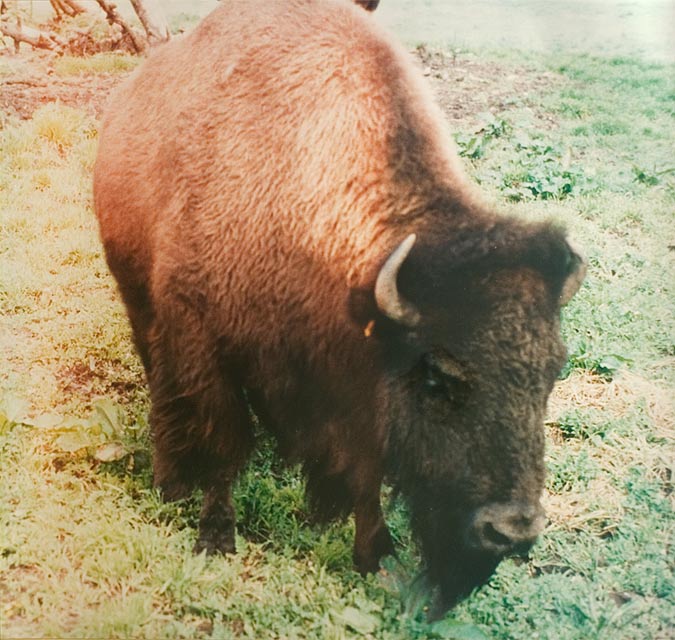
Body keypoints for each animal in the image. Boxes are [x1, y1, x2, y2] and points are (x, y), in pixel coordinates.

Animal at [93, 0, 585, 612]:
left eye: (553, 373)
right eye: (437, 377)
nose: (511, 530)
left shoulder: (355, 388)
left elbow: (365, 471)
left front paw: (375, 553)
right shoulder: (208, 348)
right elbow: (226, 446)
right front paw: (216, 536)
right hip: (140, 300)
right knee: (162, 386)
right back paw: (171, 481)